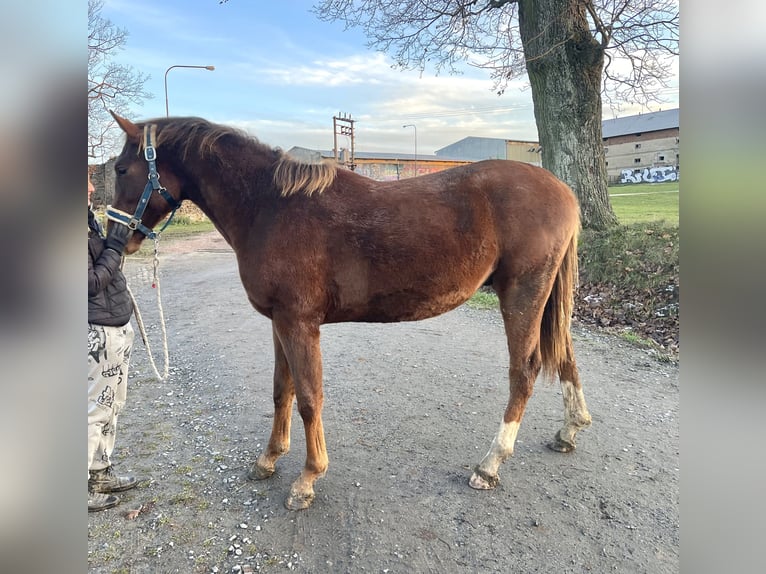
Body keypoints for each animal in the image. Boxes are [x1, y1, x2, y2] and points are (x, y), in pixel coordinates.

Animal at [108, 112, 592, 510]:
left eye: (120, 169)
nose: (115, 238)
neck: (271, 205)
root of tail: (563, 191)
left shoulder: (299, 324)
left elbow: (308, 398)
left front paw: (307, 479)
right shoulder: (279, 323)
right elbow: (281, 390)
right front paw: (268, 459)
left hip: (522, 295)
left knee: (525, 371)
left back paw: (489, 465)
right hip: (546, 298)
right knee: (565, 357)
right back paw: (569, 431)